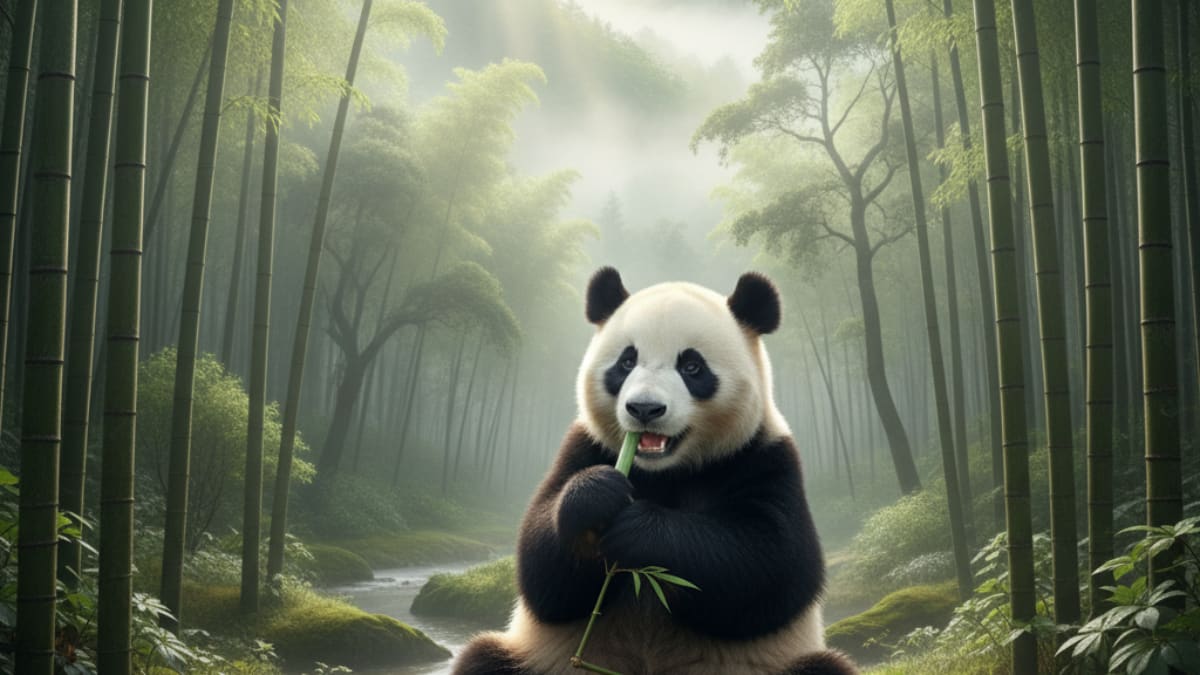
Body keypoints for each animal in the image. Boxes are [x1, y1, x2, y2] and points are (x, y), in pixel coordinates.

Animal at [453, 268, 856, 675]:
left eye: (692, 366)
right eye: (626, 362)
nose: (644, 408)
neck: (666, 471)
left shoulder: (763, 456)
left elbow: (774, 566)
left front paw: (641, 529)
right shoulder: (584, 446)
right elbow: (542, 571)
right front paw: (596, 497)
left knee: (823, 666)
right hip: (538, 659)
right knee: (483, 658)